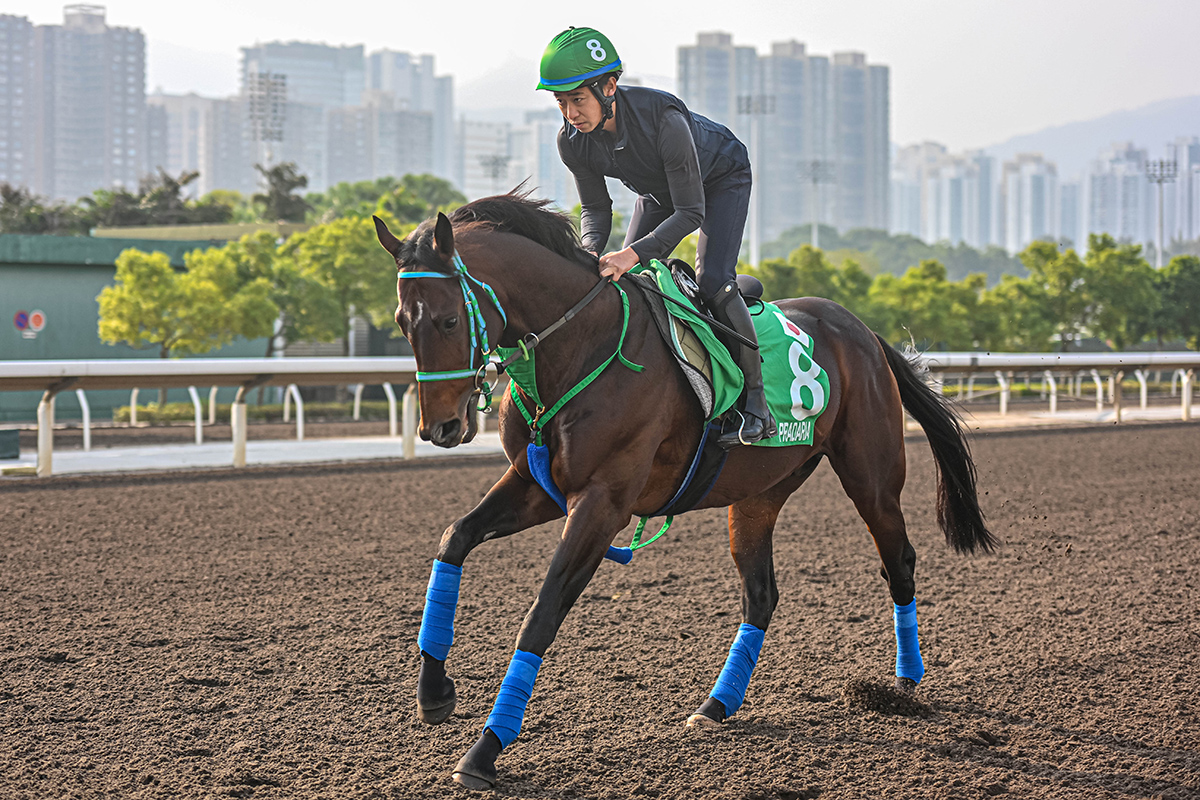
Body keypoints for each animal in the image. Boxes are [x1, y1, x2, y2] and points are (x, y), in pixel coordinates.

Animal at [372, 194, 993, 786]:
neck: (581, 344)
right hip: (758, 492)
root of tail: (861, 330)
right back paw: (717, 705)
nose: (440, 428)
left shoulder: (602, 503)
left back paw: (904, 686)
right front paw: (433, 692)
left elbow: (542, 613)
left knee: (899, 561)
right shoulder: (536, 486)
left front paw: (485, 750)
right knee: (761, 594)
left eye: (448, 321)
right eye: (402, 321)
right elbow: (454, 538)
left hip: (872, 476)